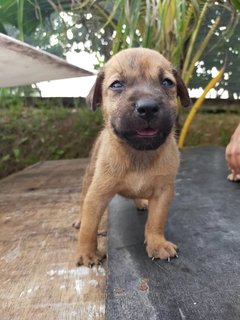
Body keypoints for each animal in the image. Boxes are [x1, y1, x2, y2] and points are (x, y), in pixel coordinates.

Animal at [76, 47, 190, 266]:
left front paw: (157, 243)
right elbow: (89, 227)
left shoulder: (163, 192)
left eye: (167, 82)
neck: (139, 154)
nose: (148, 107)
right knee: (83, 201)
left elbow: (156, 221)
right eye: (117, 84)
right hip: (88, 177)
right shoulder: (97, 195)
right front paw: (87, 253)